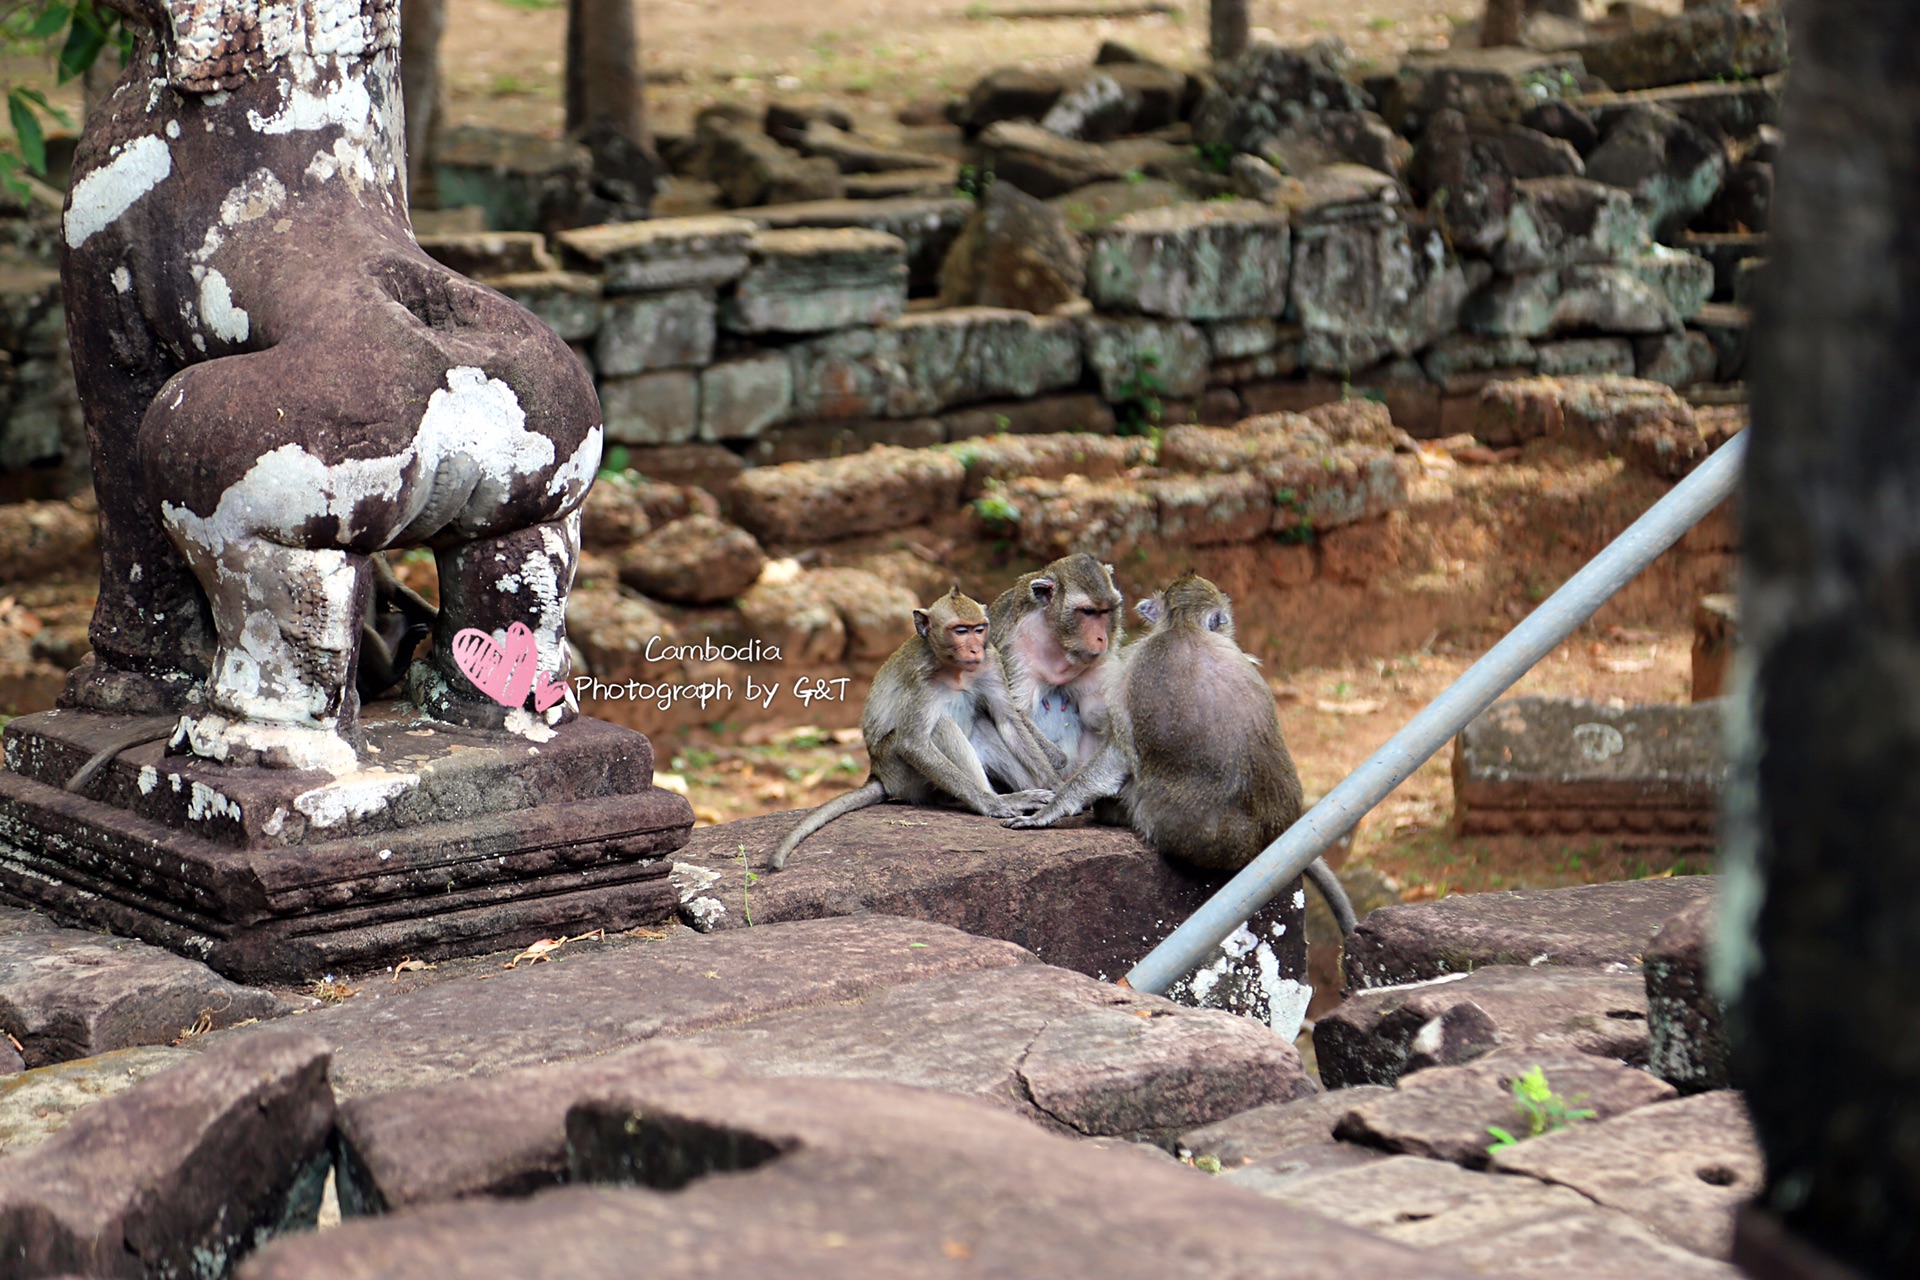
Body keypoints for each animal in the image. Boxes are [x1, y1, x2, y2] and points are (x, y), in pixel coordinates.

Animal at [764, 587, 1067, 871]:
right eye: (960, 631)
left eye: (979, 629)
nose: (974, 649)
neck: (955, 669)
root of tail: (879, 774)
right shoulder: (922, 680)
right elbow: (912, 743)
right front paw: (993, 804)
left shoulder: (990, 663)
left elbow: (1008, 722)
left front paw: (1059, 788)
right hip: (903, 773)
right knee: (940, 726)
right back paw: (1000, 798)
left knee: (984, 723)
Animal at [990, 552, 1121, 782]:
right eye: (1088, 612)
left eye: (1106, 611)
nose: (1102, 638)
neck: (1058, 641)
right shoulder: (1017, 652)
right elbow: (1015, 715)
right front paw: (1057, 761)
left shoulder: (1098, 662)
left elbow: (1093, 713)